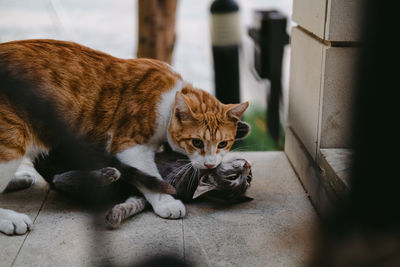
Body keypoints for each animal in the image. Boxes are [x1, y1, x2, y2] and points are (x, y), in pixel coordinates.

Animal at [0, 38, 247, 236]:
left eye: (222, 144)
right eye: (196, 142)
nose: (210, 164)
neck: (169, 99)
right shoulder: (129, 146)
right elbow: (150, 175)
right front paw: (166, 202)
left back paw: (19, 180)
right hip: (13, 139)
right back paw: (11, 219)